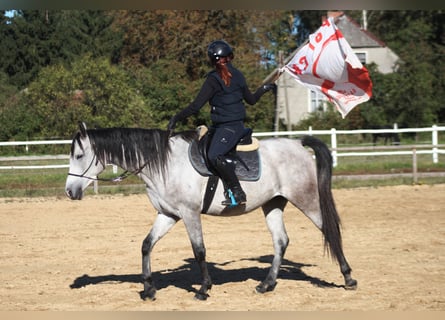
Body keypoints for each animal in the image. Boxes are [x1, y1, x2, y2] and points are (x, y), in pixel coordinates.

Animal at [65, 122, 358, 300]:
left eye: (79, 156)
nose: (69, 191)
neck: (164, 163)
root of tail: (297, 143)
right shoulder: (168, 215)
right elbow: (147, 245)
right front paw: (148, 288)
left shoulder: (189, 213)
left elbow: (199, 250)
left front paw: (204, 289)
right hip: (273, 203)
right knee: (281, 241)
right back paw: (267, 284)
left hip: (306, 198)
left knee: (329, 230)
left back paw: (348, 277)